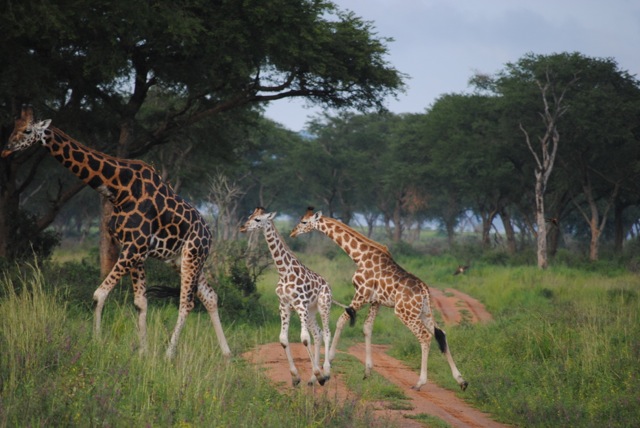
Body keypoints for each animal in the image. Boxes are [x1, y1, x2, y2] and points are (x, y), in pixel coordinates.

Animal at [1, 107, 232, 358]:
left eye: (28, 130)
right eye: (13, 126)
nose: (7, 148)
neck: (118, 190)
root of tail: (210, 234)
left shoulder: (133, 248)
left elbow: (99, 294)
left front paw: (96, 343)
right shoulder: (136, 250)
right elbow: (140, 302)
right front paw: (143, 353)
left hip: (192, 255)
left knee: (187, 303)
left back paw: (169, 354)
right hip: (179, 259)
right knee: (210, 296)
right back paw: (227, 354)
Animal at [240, 206, 336, 386]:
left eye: (257, 219)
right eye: (250, 215)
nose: (242, 227)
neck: (283, 272)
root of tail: (327, 284)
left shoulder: (300, 304)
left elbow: (304, 338)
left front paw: (319, 373)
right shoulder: (284, 306)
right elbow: (283, 339)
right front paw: (296, 376)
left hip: (323, 305)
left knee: (326, 333)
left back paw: (325, 373)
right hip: (311, 311)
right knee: (318, 333)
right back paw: (313, 378)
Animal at [292, 207, 470, 392]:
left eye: (304, 222)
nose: (292, 233)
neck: (359, 256)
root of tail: (424, 291)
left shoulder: (361, 294)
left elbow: (341, 320)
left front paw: (328, 364)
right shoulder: (375, 301)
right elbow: (367, 328)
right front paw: (367, 371)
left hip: (405, 313)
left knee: (425, 336)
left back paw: (420, 382)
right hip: (424, 311)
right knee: (440, 333)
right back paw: (461, 380)